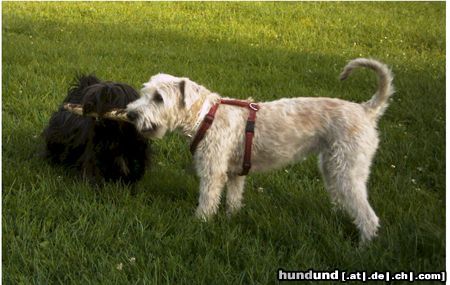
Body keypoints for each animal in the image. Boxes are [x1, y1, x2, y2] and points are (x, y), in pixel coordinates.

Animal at [126, 57, 394, 242]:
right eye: (145, 93)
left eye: (159, 98)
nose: (130, 114)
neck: (205, 116)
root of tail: (366, 110)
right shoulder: (234, 173)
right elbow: (233, 201)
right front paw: (230, 220)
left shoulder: (213, 172)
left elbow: (207, 201)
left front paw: (199, 224)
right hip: (332, 166)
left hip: (348, 170)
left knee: (369, 217)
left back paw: (362, 248)